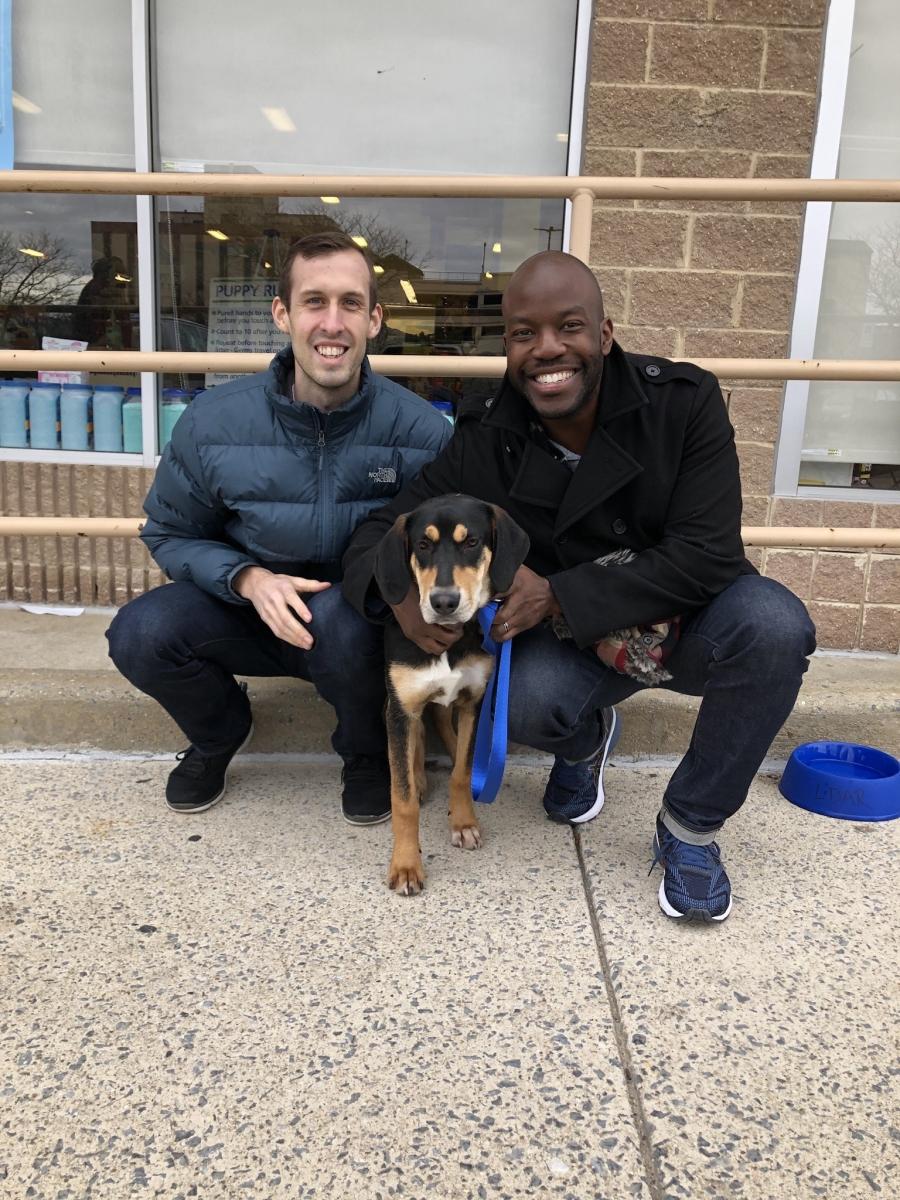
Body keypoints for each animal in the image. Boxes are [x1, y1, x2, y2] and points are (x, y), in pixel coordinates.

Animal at [372, 492, 528, 897]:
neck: (450, 641)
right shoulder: (401, 708)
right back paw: (419, 777)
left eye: (471, 542)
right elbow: (402, 798)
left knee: (445, 726)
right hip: (393, 705)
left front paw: (463, 822)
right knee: (417, 738)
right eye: (422, 545)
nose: (444, 602)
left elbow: (462, 770)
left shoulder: (474, 701)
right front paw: (406, 864)